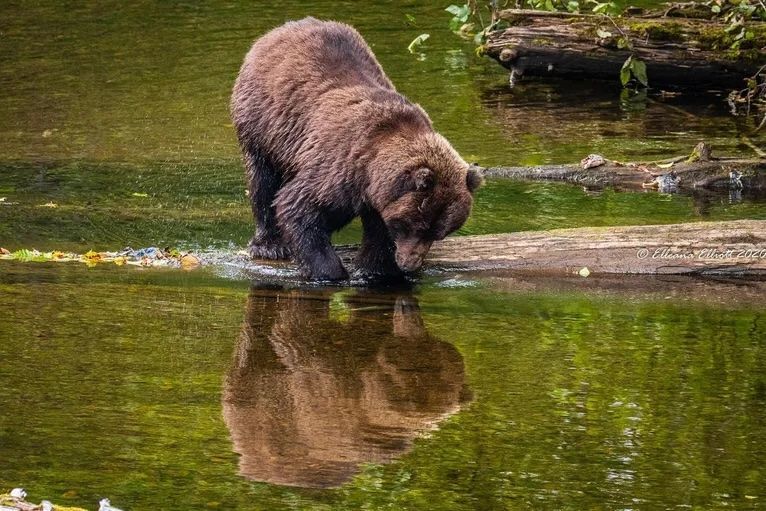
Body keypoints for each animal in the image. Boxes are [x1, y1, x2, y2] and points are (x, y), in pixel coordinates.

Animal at [231, 18, 484, 280]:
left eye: (440, 232)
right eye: (417, 225)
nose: (410, 264)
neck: (370, 174)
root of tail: (280, 29)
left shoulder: (378, 196)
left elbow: (379, 233)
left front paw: (375, 269)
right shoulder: (340, 166)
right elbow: (299, 207)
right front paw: (330, 271)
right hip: (263, 123)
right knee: (263, 182)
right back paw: (269, 244)